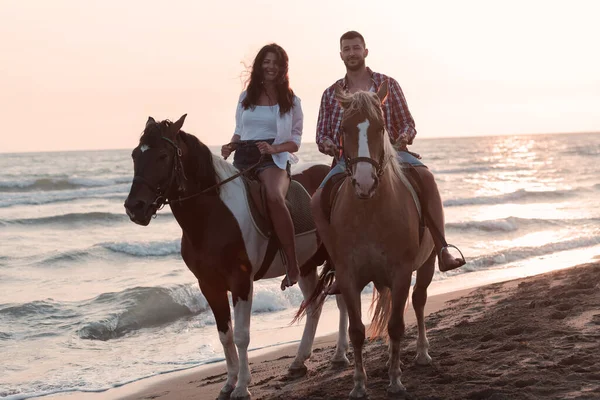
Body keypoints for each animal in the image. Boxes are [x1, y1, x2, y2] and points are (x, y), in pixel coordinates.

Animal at [125, 115, 350, 396]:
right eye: (135, 154)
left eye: (163, 156)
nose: (135, 207)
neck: (212, 216)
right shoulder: (209, 284)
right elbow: (225, 335)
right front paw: (229, 383)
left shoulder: (241, 281)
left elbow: (242, 335)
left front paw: (242, 386)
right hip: (305, 266)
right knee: (314, 305)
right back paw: (299, 361)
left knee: (341, 300)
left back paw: (340, 355)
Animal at [324, 83, 436, 398]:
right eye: (344, 128)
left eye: (381, 127)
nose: (364, 181)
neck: (369, 211)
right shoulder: (348, 277)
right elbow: (357, 331)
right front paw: (359, 385)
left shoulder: (401, 273)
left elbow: (397, 325)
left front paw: (396, 381)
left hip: (427, 264)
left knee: (419, 301)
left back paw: (422, 353)